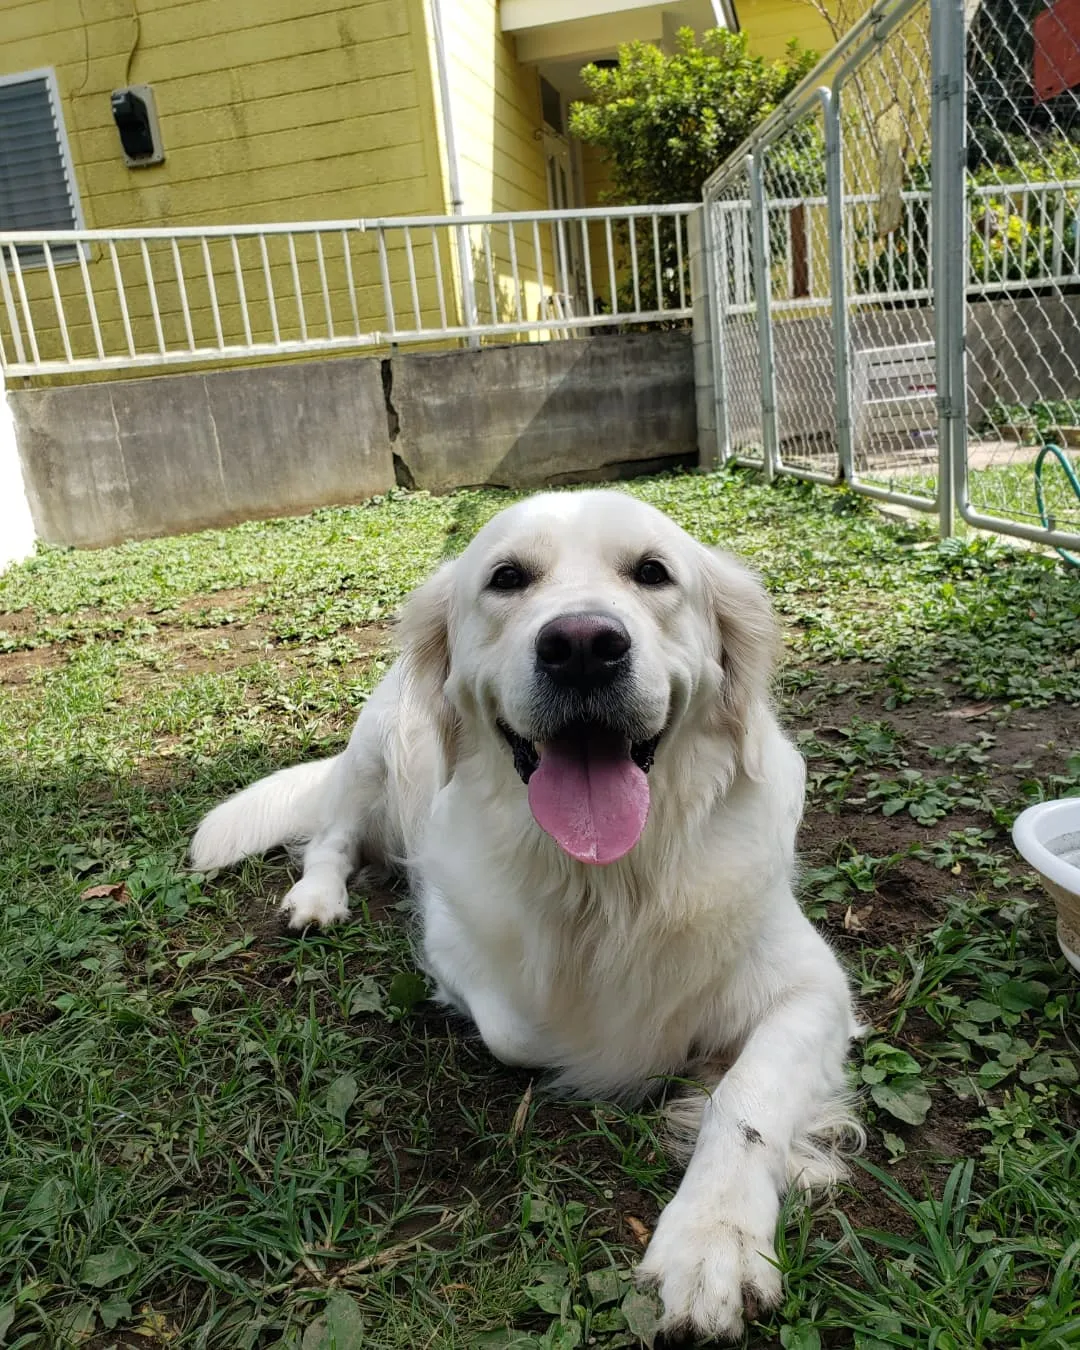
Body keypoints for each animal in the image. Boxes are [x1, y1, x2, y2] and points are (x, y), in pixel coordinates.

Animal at [190, 488, 858, 1339]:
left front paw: (716, 1236)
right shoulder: (454, 941)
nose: (582, 646)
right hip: (373, 748)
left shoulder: (814, 984)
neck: (605, 882)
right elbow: (538, 1034)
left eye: (652, 572)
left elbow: (749, 1095)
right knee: (332, 835)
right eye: (507, 578)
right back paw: (319, 898)